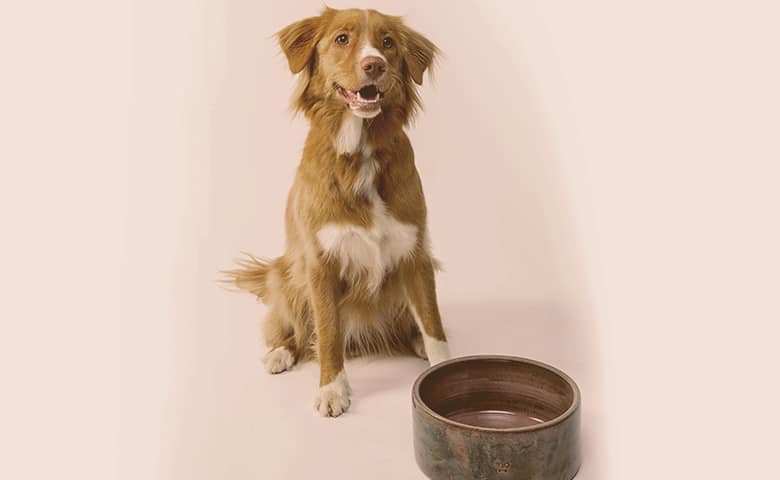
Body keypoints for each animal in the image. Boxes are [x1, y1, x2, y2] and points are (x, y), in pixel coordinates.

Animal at [222, 7, 448, 416]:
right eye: (342, 39)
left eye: (387, 42)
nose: (374, 64)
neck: (360, 153)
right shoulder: (320, 263)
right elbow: (327, 333)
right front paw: (332, 390)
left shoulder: (416, 253)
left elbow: (433, 324)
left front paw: (443, 364)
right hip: (287, 275)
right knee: (294, 330)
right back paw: (280, 353)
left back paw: (415, 341)